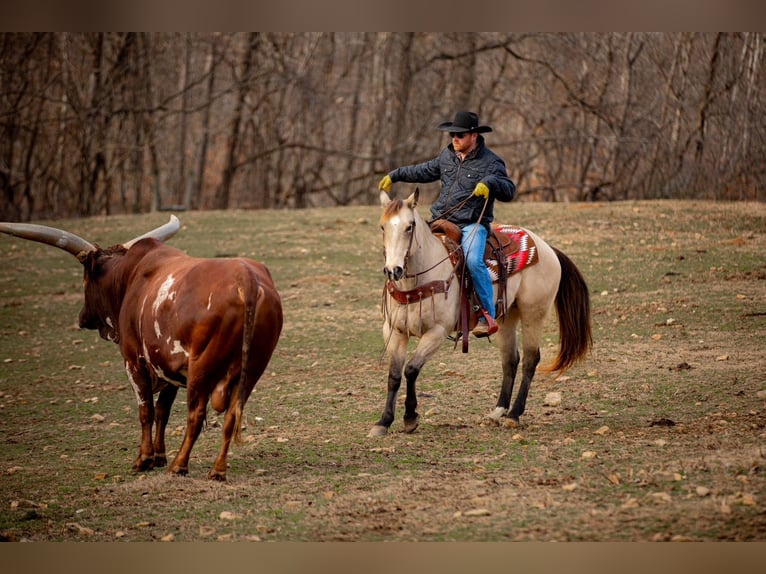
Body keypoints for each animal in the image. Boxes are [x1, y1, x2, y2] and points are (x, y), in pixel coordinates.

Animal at [369, 189, 592, 437]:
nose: (394, 270)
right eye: (382, 227)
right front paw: (383, 421)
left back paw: (514, 415)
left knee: (530, 360)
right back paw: (497, 412)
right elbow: (394, 376)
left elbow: (411, 370)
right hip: (507, 316)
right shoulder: (395, 331)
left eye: (409, 226)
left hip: (534, 313)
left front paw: (410, 417)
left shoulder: (437, 332)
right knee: (510, 360)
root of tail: (547, 248)